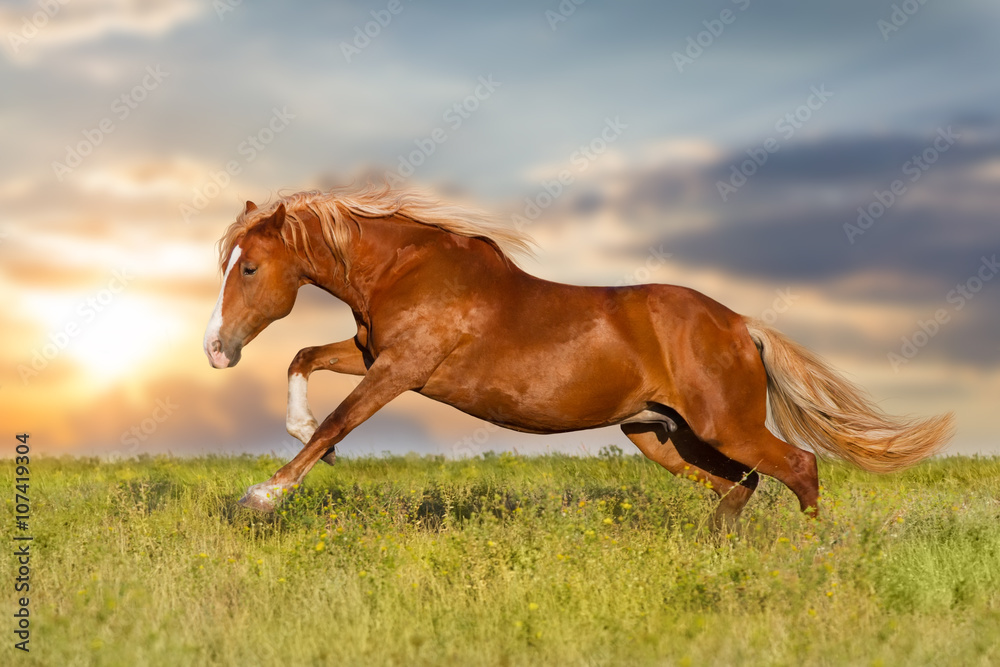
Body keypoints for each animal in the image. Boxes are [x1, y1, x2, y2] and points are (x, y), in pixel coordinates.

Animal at [203, 184, 954, 526]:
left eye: (249, 268)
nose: (214, 349)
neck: (408, 271)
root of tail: (741, 324)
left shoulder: (402, 368)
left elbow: (339, 418)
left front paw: (261, 496)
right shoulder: (371, 354)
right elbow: (303, 359)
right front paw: (301, 437)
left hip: (724, 424)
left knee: (797, 467)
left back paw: (810, 554)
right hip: (659, 433)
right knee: (739, 485)